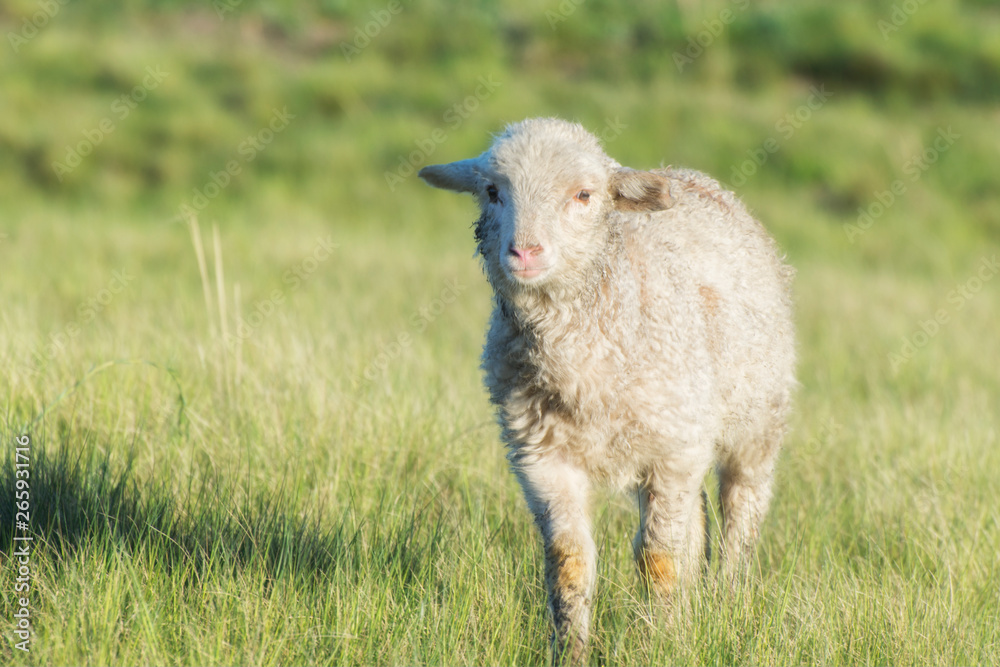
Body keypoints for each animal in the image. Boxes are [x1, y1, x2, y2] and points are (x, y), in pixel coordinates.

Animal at [418, 117, 796, 664]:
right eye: (492, 191)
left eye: (584, 194)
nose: (525, 252)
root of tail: (688, 175)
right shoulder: (541, 457)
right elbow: (569, 559)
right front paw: (571, 650)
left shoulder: (673, 448)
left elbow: (659, 559)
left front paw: (661, 644)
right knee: (696, 521)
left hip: (755, 423)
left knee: (740, 514)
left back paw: (728, 603)